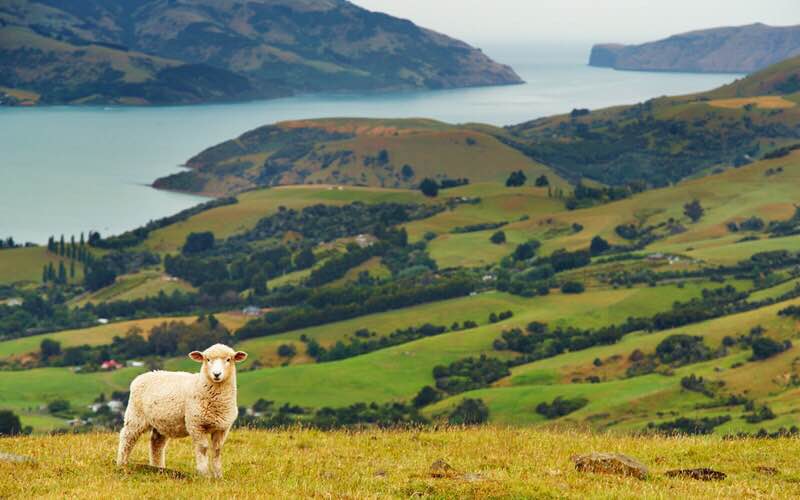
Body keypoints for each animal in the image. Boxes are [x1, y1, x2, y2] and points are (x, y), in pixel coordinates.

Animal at [115, 344, 247, 476]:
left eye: (228, 359)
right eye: (207, 359)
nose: (217, 374)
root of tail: (142, 376)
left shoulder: (222, 428)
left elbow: (217, 450)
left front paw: (218, 475)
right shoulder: (196, 424)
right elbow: (203, 448)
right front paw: (204, 474)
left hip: (162, 422)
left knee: (156, 443)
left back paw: (159, 468)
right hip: (136, 416)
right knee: (127, 437)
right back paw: (122, 464)